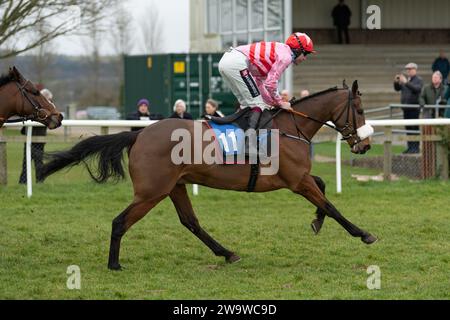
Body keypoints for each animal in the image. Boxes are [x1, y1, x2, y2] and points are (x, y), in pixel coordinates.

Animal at [42, 80, 378, 270]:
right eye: (360, 110)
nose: (365, 145)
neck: (289, 127)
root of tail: (139, 134)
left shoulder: (299, 179)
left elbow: (323, 190)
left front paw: (316, 221)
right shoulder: (296, 181)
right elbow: (331, 205)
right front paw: (363, 233)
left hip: (174, 186)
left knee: (190, 222)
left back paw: (227, 253)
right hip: (151, 192)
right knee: (120, 221)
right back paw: (114, 264)